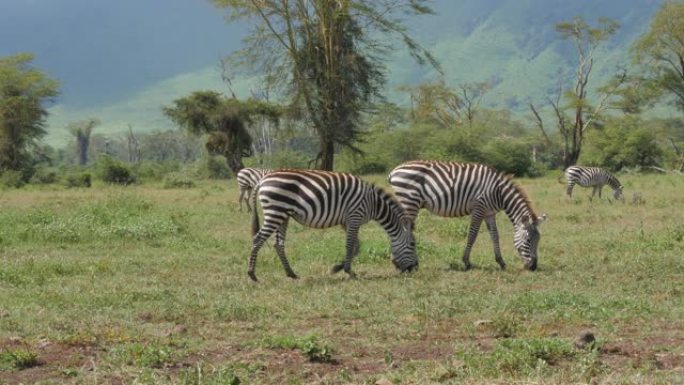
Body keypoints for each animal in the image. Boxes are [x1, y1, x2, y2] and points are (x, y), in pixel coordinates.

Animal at [247, 170, 416, 280]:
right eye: (413, 244)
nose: (415, 268)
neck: (373, 204)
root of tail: (262, 180)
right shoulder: (355, 217)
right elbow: (350, 245)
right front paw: (348, 271)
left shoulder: (347, 222)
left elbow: (356, 246)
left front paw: (339, 267)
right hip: (275, 212)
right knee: (257, 239)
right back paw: (252, 274)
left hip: (283, 215)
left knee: (278, 244)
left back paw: (291, 274)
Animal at [390, 160, 544, 272]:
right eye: (528, 240)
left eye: (538, 240)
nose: (533, 267)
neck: (499, 192)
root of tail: (394, 171)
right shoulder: (479, 208)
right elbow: (472, 235)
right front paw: (467, 262)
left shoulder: (489, 213)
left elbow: (495, 235)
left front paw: (501, 262)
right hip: (409, 201)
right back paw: (399, 263)